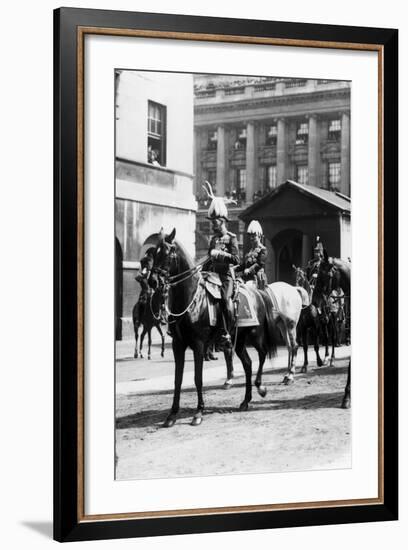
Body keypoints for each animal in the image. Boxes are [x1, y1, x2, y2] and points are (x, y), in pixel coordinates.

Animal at [151, 229, 278, 432]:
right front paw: (172, 415)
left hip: (255, 336)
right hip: (238, 341)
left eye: (167, 253)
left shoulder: (198, 345)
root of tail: (258, 293)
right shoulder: (178, 344)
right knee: (248, 364)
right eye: (154, 253)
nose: (152, 280)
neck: (191, 300)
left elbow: (198, 378)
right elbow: (178, 379)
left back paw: (260, 388)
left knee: (262, 354)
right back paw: (245, 401)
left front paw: (198, 413)